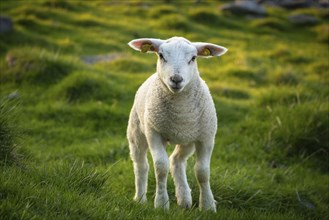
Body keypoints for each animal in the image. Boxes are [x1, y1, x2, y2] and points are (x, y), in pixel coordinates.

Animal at [127, 37, 227, 212]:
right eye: (161, 55)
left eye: (193, 58)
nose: (176, 79)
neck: (180, 111)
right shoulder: (154, 133)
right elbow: (161, 167)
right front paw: (161, 203)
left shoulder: (206, 138)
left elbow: (203, 172)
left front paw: (207, 205)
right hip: (136, 130)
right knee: (141, 165)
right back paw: (140, 199)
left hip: (187, 140)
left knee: (176, 161)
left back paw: (184, 198)